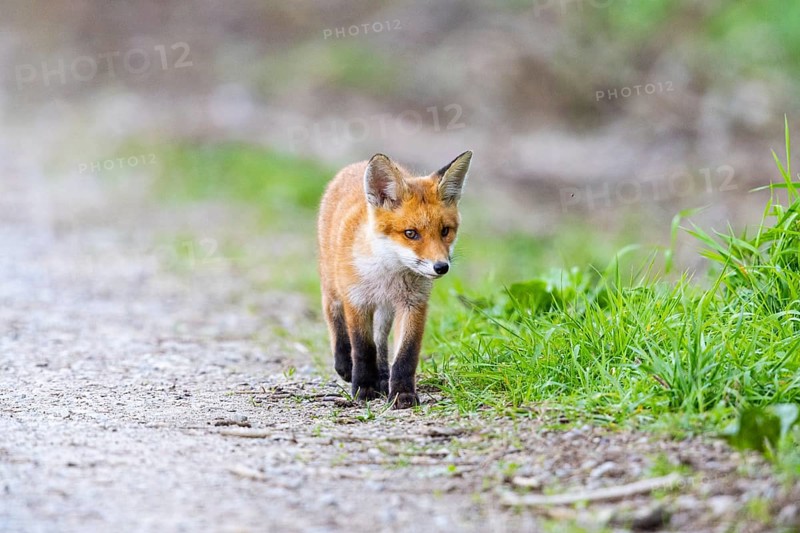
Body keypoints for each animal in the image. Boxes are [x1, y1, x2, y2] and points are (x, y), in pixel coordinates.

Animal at [317, 151, 472, 409]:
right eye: (411, 233)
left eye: (445, 231)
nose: (441, 267)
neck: (389, 276)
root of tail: (356, 165)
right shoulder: (357, 301)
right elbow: (363, 349)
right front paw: (364, 388)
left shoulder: (413, 304)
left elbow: (405, 355)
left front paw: (402, 393)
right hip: (333, 286)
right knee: (333, 315)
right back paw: (345, 365)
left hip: (385, 310)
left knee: (380, 342)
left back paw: (382, 376)